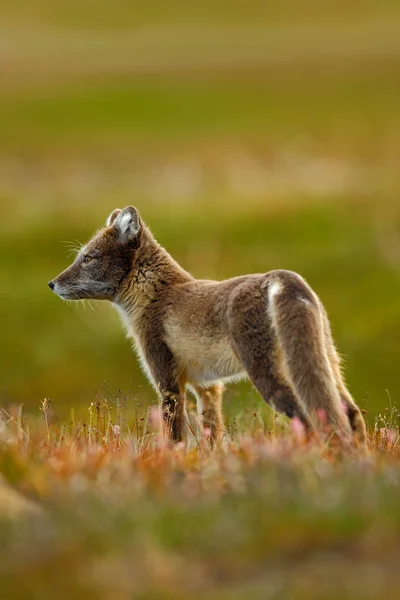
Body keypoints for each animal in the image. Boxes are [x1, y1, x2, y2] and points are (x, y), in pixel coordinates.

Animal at [48, 204, 368, 448]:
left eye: (88, 258)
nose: (51, 284)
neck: (156, 294)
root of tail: (279, 276)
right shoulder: (208, 387)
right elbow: (212, 436)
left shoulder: (168, 385)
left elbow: (174, 439)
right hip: (327, 364)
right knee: (351, 414)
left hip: (268, 375)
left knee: (310, 419)